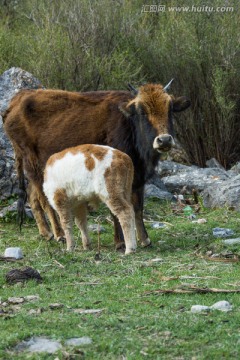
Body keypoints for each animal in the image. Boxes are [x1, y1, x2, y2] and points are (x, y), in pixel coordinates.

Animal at [2, 82, 189, 249]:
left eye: (170, 108)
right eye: (142, 111)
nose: (164, 140)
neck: (128, 122)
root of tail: (16, 100)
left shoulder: (138, 176)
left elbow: (138, 207)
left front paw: (144, 239)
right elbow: (117, 210)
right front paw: (120, 242)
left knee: (33, 197)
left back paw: (47, 233)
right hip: (34, 166)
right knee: (43, 199)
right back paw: (59, 235)